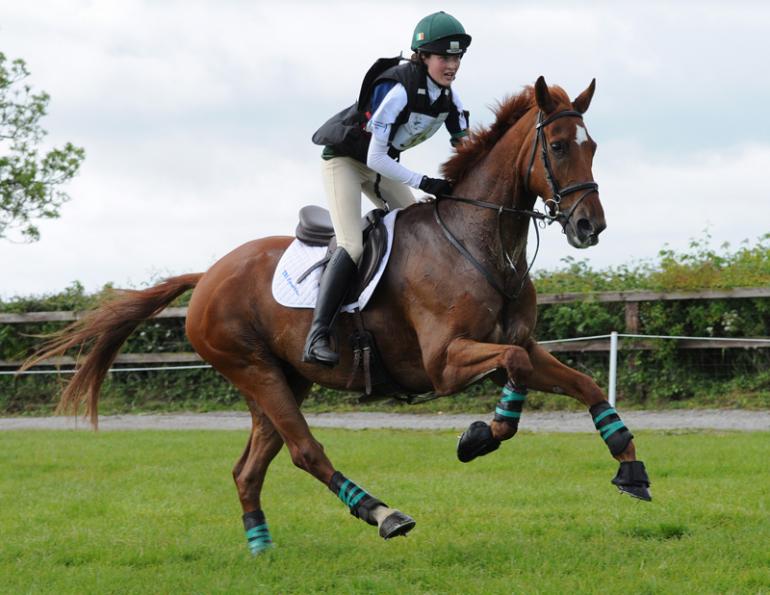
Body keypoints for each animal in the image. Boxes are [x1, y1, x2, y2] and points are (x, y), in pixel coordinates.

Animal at [25, 77, 651, 555]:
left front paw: (630, 468)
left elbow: (581, 381)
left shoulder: (515, 346)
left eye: (594, 146)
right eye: (561, 146)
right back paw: (383, 513)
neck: (482, 242)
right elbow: (516, 368)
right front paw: (481, 434)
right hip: (253, 369)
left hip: (283, 379)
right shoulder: (445, 362)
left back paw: (262, 548)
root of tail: (206, 277)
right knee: (306, 452)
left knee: (250, 468)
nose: (589, 226)